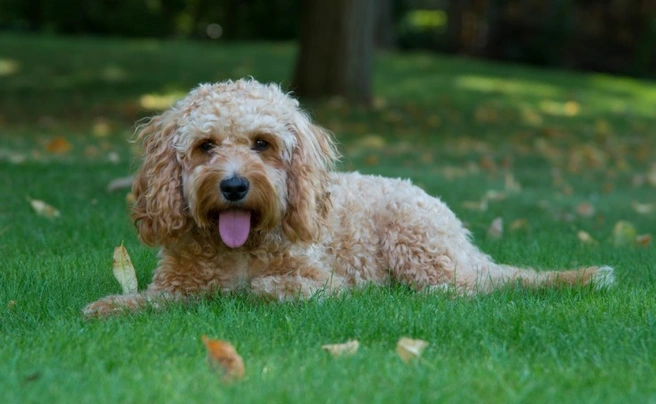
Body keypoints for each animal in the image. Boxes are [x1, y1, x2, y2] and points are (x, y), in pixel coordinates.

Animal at [83, 79, 616, 318]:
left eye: (262, 143)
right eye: (205, 146)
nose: (234, 186)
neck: (241, 245)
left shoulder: (323, 283)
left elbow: (265, 288)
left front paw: (246, 290)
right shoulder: (175, 287)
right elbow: (149, 300)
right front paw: (110, 306)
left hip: (415, 240)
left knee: (472, 288)